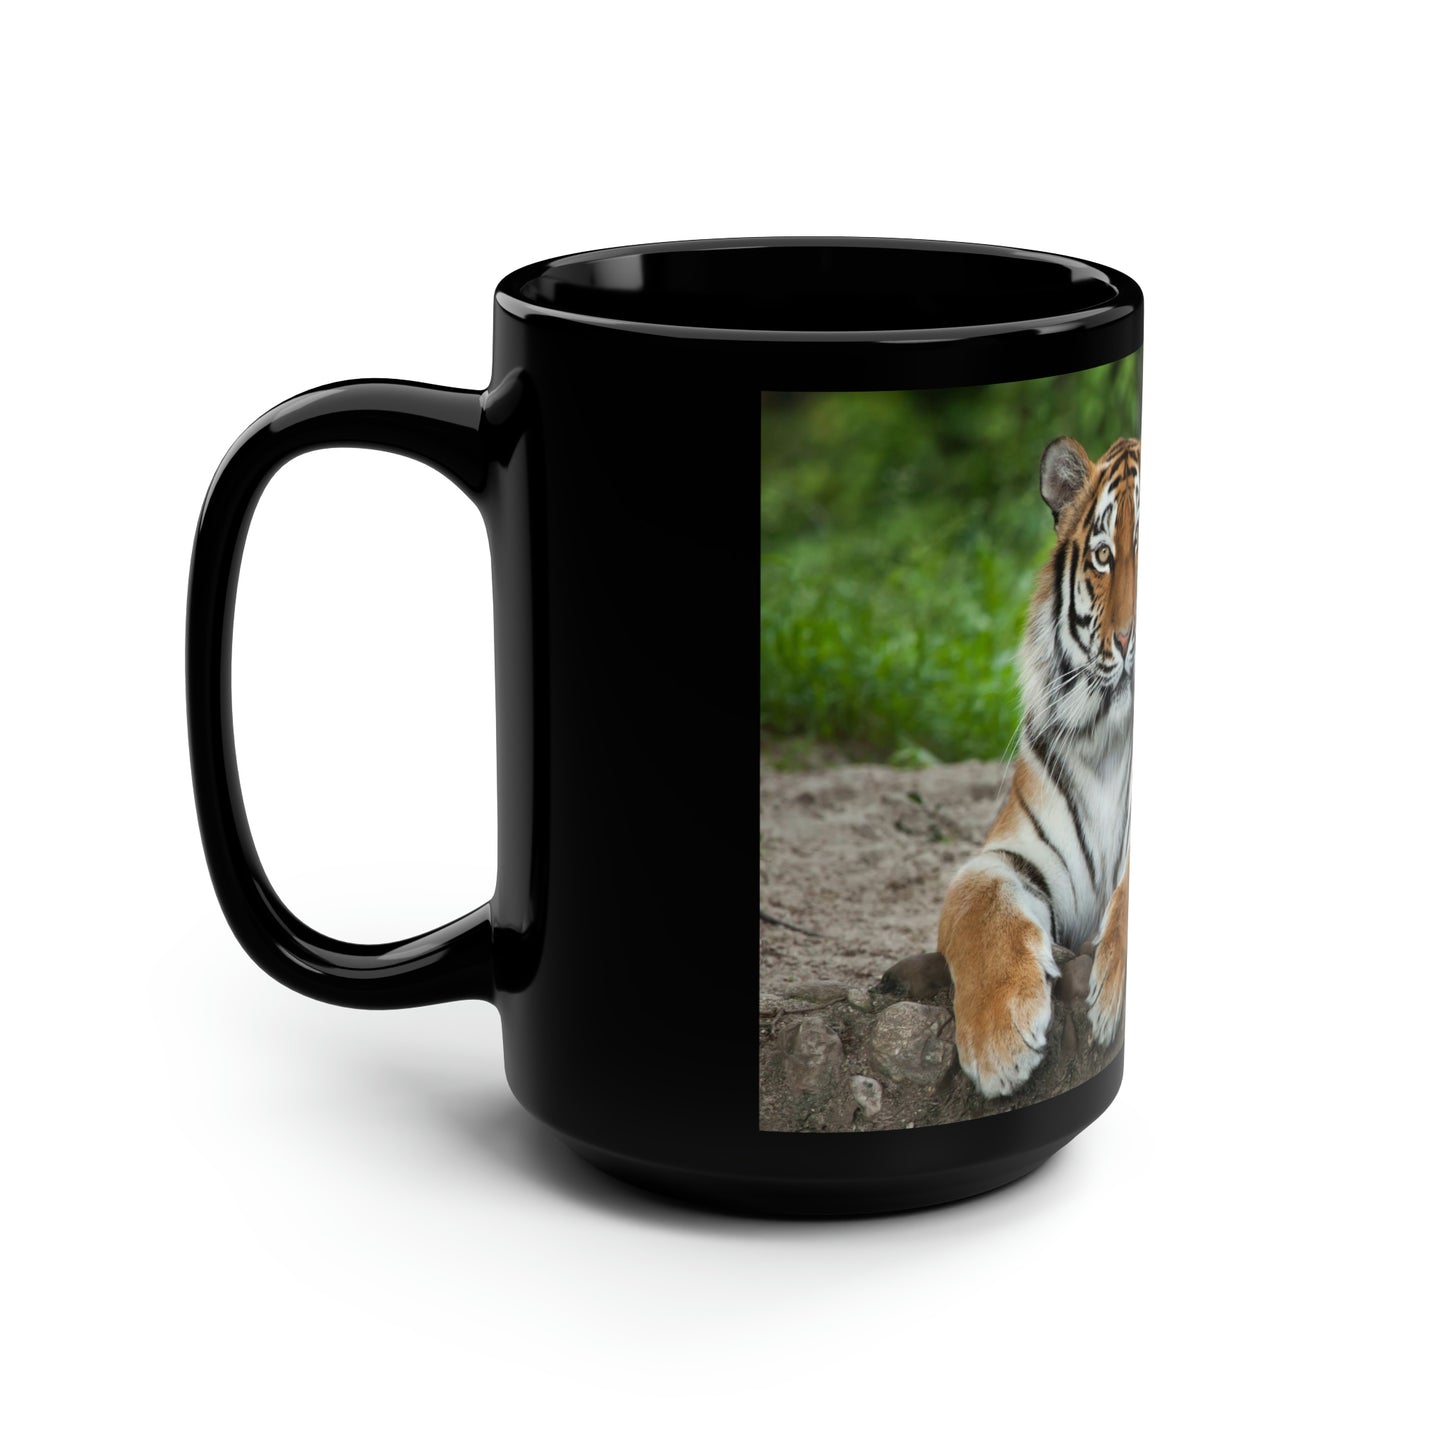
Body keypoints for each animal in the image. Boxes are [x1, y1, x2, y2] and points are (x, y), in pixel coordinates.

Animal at [939, 436, 1138, 1098]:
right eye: (1104, 556)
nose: (1129, 640)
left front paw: (1111, 996)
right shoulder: (1014, 852)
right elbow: (980, 907)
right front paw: (999, 1041)